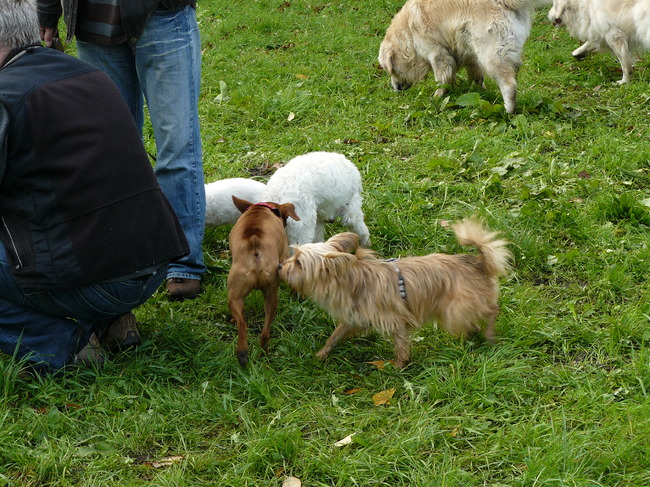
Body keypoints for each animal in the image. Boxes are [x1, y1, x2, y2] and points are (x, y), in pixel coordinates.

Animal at [227, 195, 300, 366]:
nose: (286, 224)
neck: (261, 209)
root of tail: (255, 245)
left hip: (238, 295)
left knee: (243, 323)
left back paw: (243, 353)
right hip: (270, 297)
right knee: (264, 333)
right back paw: (260, 355)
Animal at [278, 221, 512, 370]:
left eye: (298, 262)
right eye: (294, 256)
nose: (280, 266)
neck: (352, 281)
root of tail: (478, 263)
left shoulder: (396, 321)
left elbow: (400, 346)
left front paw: (399, 366)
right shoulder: (352, 318)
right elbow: (335, 336)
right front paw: (322, 354)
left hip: (455, 310)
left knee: (492, 310)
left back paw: (489, 335)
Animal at [374, 0, 548, 114]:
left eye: (391, 71)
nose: (395, 88)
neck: (408, 31)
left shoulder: (437, 54)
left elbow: (442, 80)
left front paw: (437, 97)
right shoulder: (469, 53)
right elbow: (476, 74)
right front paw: (478, 90)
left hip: (491, 56)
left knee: (509, 85)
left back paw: (507, 111)